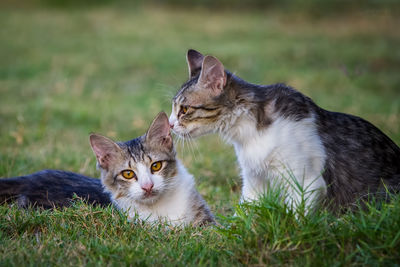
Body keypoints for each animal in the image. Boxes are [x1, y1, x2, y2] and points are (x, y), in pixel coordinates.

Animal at [169, 48, 400, 214]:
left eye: (184, 109)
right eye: (173, 107)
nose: (170, 124)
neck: (248, 135)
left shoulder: (306, 183)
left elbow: (297, 220)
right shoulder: (254, 181)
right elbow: (243, 216)